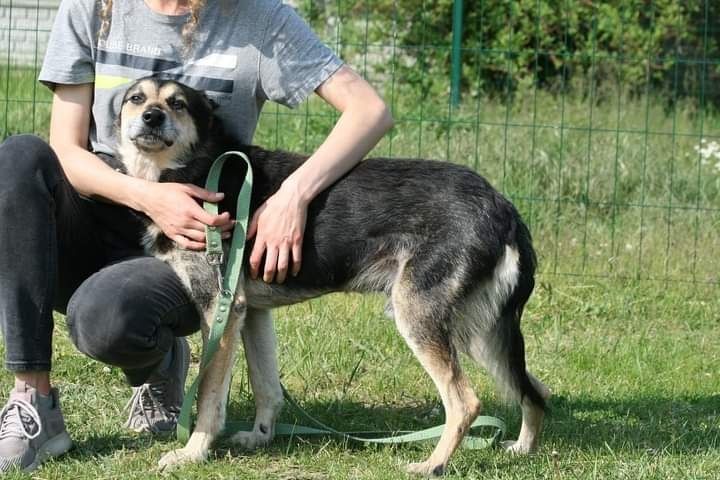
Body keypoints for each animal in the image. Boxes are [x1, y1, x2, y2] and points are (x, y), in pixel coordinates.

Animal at [115, 77, 548, 474]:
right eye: (137, 98)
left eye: (178, 104)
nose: (152, 117)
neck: (197, 167)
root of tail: (502, 206)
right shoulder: (250, 312)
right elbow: (266, 386)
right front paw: (260, 437)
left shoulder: (219, 309)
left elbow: (208, 396)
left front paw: (193, 452)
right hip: (482, 331)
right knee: (534, 389)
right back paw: (522, 449)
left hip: (420, 318)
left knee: (465, 402)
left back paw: (432, 465)